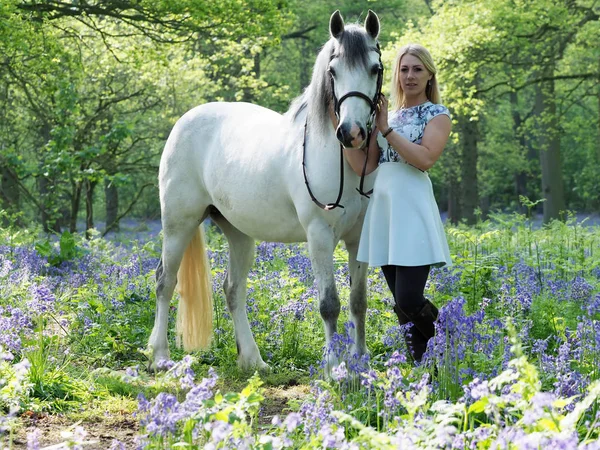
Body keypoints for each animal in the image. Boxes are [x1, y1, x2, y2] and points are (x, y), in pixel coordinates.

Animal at [150, 10, 384, 370]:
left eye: (375, 68)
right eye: (333, 71)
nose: (351, 133)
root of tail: (184, 121)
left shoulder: (359, 239)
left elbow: (358, 301)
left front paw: (361, 365)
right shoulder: (319, 236)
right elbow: (329, 304)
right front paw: (334, 368)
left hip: (239, 234)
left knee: (233, 289)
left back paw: (252, 360)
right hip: (179, 224)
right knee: (165, 282)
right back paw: (160, 357)